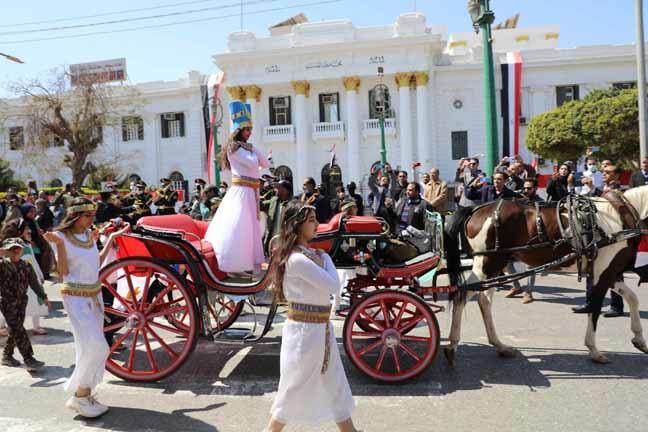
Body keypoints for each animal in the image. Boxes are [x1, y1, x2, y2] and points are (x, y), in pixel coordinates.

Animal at [448, 185, 648, 364]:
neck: (621, 217)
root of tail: (476, 209)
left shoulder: (609, 272)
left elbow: (632, 298)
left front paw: (640, 340)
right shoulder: (603, 273)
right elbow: (595, 308)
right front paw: (594, 350)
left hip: (494, 267)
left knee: (483, 301)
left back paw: (499, 345)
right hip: (488, 264)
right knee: (462, 295)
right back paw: (452, 344)